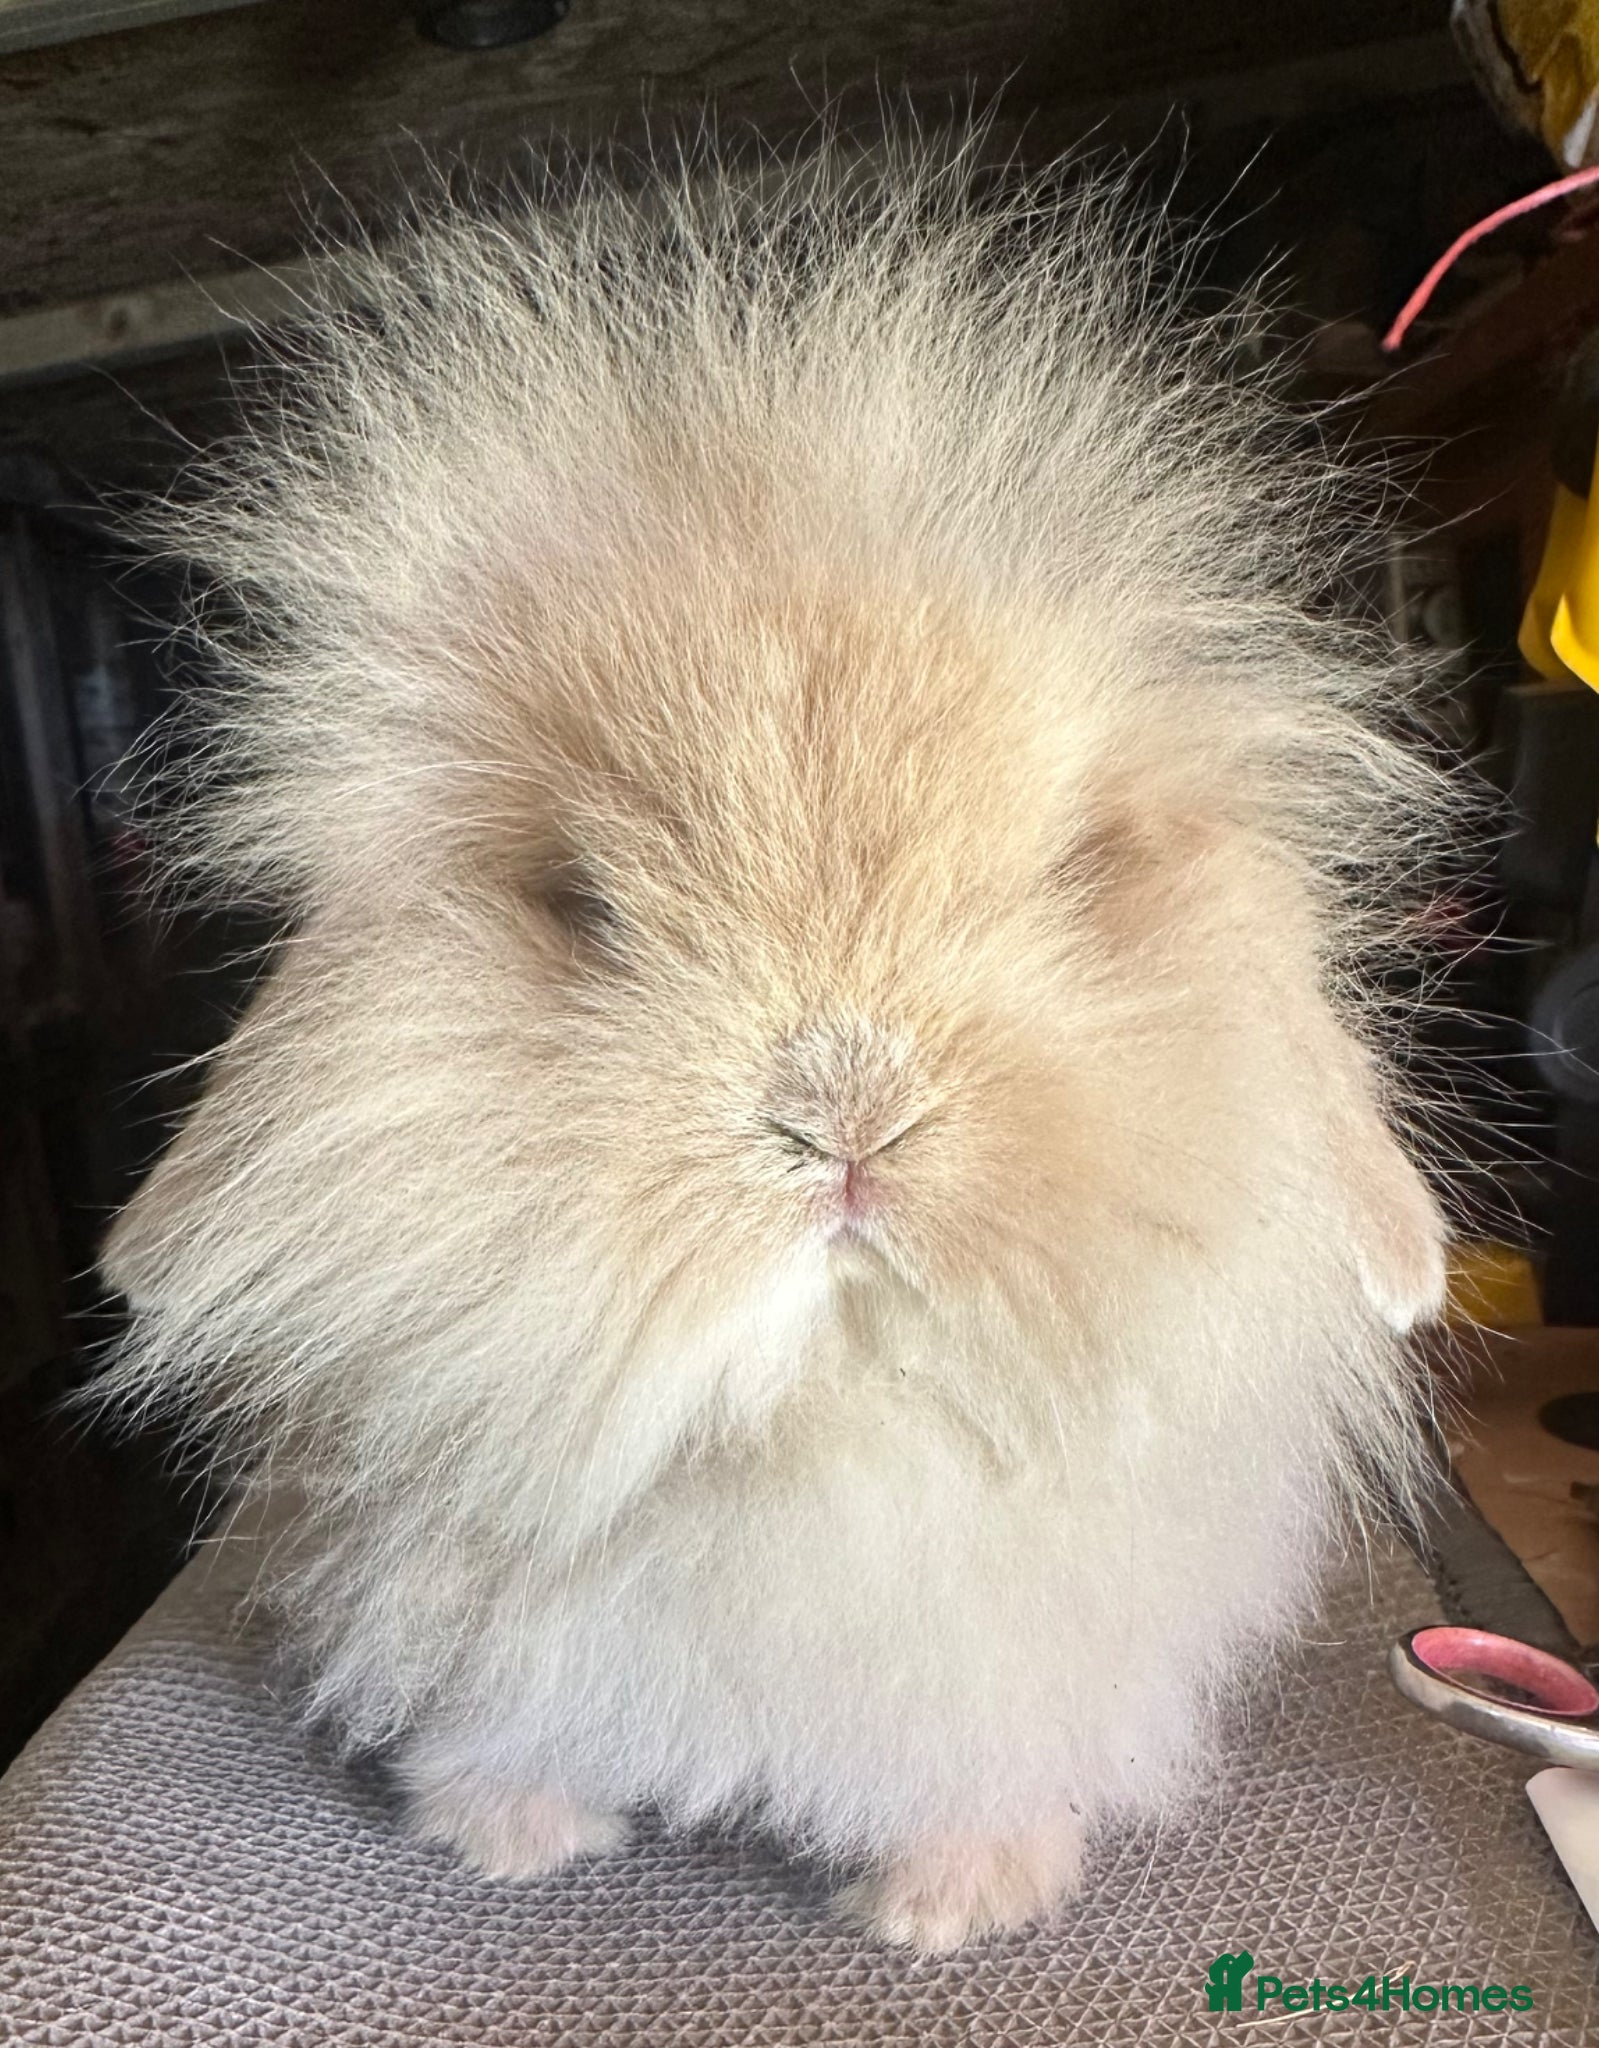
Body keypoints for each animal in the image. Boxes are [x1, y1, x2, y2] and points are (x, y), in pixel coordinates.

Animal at [99, 130, 1454, 1954]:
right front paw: (509, 1838)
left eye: (1067, 870)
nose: (843, 1108)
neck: (823, 1423)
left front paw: (947, 1909)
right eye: (579, 899)